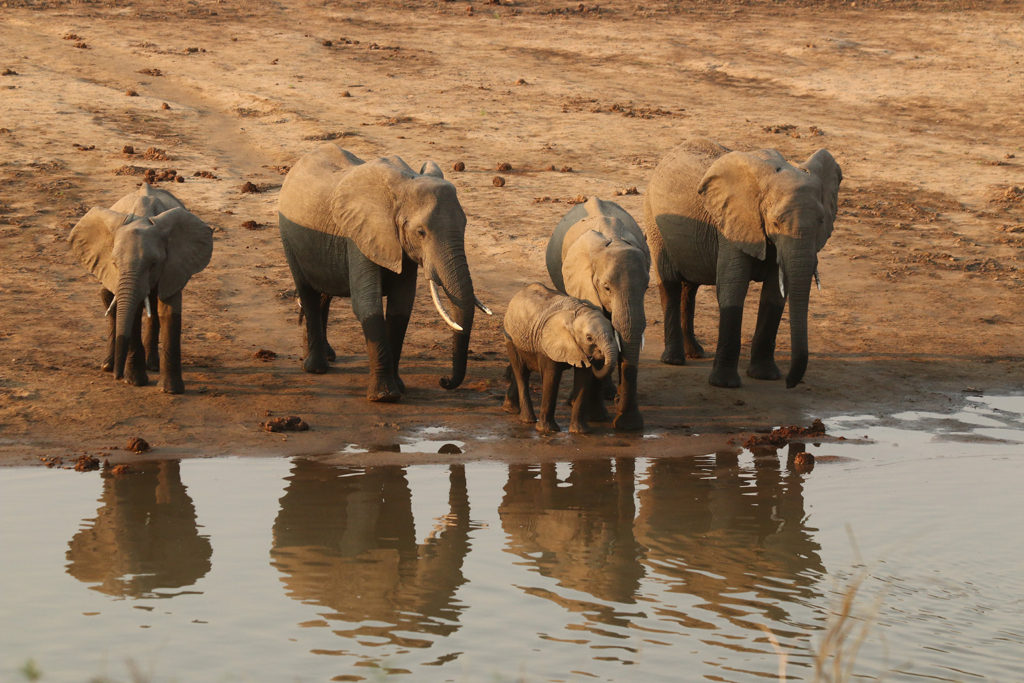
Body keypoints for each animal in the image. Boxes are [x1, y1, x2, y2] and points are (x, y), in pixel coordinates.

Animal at [68, 184, 214, 393]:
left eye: (153, 264)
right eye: (114, 263)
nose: (117, 377)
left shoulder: (175, 264)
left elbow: (168, 311)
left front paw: (171, 390)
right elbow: (133, 312)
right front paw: (134, 382)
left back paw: (151, 365)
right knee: (109, 299)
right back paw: (108, 365)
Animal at [278, 144, 489, 401]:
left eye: (465, 225)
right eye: (421, 232)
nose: (444, 381)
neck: (403, 187)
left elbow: (401, 308)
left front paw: (399, 388)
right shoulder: (360, 235)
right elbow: (367, 306)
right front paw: (385, 396)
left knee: (324, 294)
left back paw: (328, 356)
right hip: (289, 237)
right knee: (307, 292)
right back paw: (316, 368)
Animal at [501, 284, 614, 436]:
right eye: (589, 338)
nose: (598, 355)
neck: (579, 312)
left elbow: (583, 379)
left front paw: (580, 432)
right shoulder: (548, 344)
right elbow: (551, 378)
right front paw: (547, 431)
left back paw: (512, 410)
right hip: (510, 339)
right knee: (521, 373)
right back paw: (528, 420)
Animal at [544, 197, 647, 432]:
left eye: (646, 288)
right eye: (606, 288)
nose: (626, 425)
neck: (614, 240)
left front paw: (626, 425)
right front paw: (598, 417)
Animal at [643, 137, 843, 389]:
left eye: (821, 221)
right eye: (776, 223)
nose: (790, 383)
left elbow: (774, 295)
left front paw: (765, 376)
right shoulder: (731, 227)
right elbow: (733, 288)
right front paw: (724, 384)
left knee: (690, 288)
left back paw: (696, 353)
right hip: (654, 221)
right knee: (670, 284)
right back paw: (674, 360)